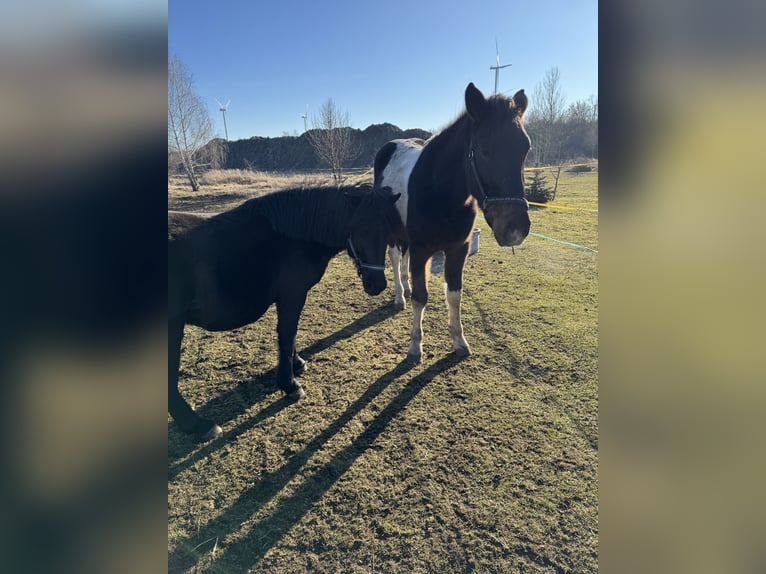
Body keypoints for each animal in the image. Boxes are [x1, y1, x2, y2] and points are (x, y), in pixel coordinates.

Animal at [170, 184, 402, 440]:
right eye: (359, 228)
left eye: (387, 229)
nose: (377, 284)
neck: (293, 238)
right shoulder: (293, 295)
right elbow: (287, 334)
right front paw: (290, 384)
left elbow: (289, 336)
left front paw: (297, 364)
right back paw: (197, 424)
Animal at [376, 81, 532, 364]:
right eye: (483, 150)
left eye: (525, 149)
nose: (515, 229)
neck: (442, 195)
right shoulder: (422, 250)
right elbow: (421, 297)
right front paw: (415, 347)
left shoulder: (458, 249)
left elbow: (454, 295)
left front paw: (459, 341)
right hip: (393, 232)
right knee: (394, 258)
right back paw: (399, 296)